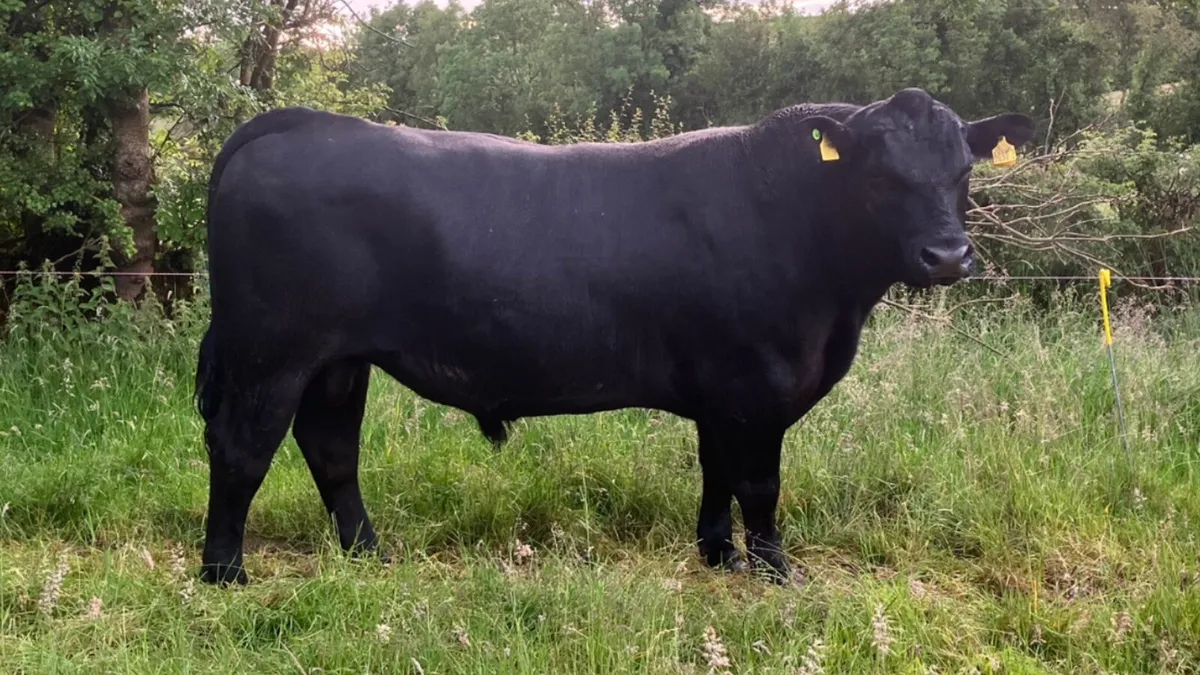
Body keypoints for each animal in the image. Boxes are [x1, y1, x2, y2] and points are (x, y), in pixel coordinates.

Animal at [194, 87, 1035, 586]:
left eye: (963, 172)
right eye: (879, 175)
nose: (948, 255)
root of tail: (301, 121)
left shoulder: (721, 392)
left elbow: (716, 474)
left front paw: (717, 555)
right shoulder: (754, 385)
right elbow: (759, 484)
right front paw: (776, 572)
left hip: (337, 359)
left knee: (331, 447)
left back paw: (369, 553)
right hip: (272, 351)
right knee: (242, 449)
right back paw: (224, 573)